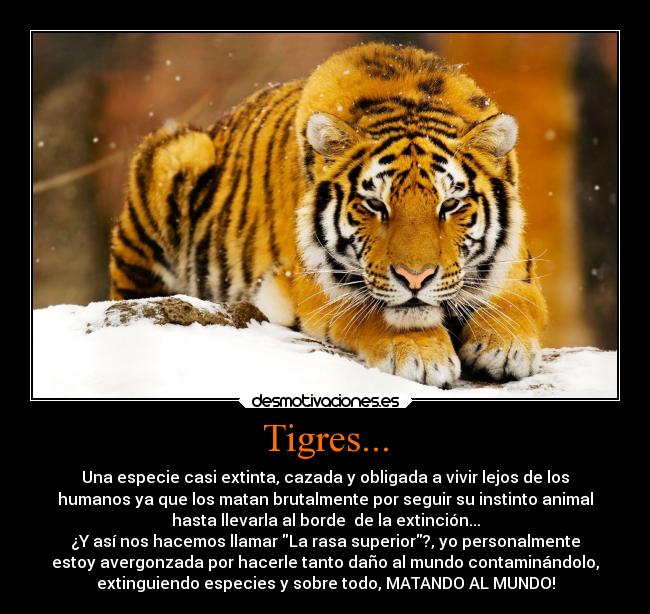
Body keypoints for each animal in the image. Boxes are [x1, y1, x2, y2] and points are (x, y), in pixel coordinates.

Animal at [109, 43, 548, 387]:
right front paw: (421, 355)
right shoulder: (315, 283)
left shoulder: (516, 267)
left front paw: (505, 347)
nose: (415, 278)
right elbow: (377, 311)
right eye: (375, 205)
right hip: (176, 155)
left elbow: (516, 302)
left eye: (450, 205)